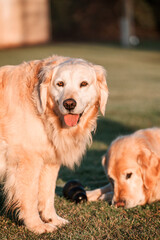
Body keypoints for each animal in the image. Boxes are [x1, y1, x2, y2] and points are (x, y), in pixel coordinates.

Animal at [0, 55, 108, 232]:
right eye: (60, 84)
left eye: (83, 84)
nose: (69, 104)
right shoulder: (28, 161)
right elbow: (30, 197)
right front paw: (37, 226)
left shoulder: (50, 161)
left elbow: (47, 194)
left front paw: (52, 219)